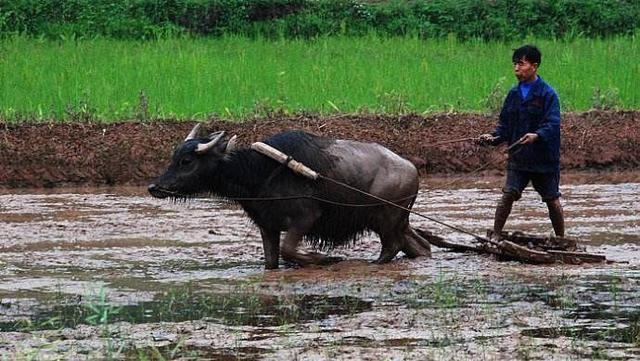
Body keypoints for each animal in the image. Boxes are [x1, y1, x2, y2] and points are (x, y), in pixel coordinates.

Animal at [148, 124, 432, 268]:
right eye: (174, 158)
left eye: (186, 161)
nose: (154, 187)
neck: (259, 174)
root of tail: (411, 169)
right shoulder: (267, 226)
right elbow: (272, 260)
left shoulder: (305, 219)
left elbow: (288, 250)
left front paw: (323, 258)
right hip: (396, 222)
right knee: (419, 247)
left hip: (385, 219)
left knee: (391, 247)